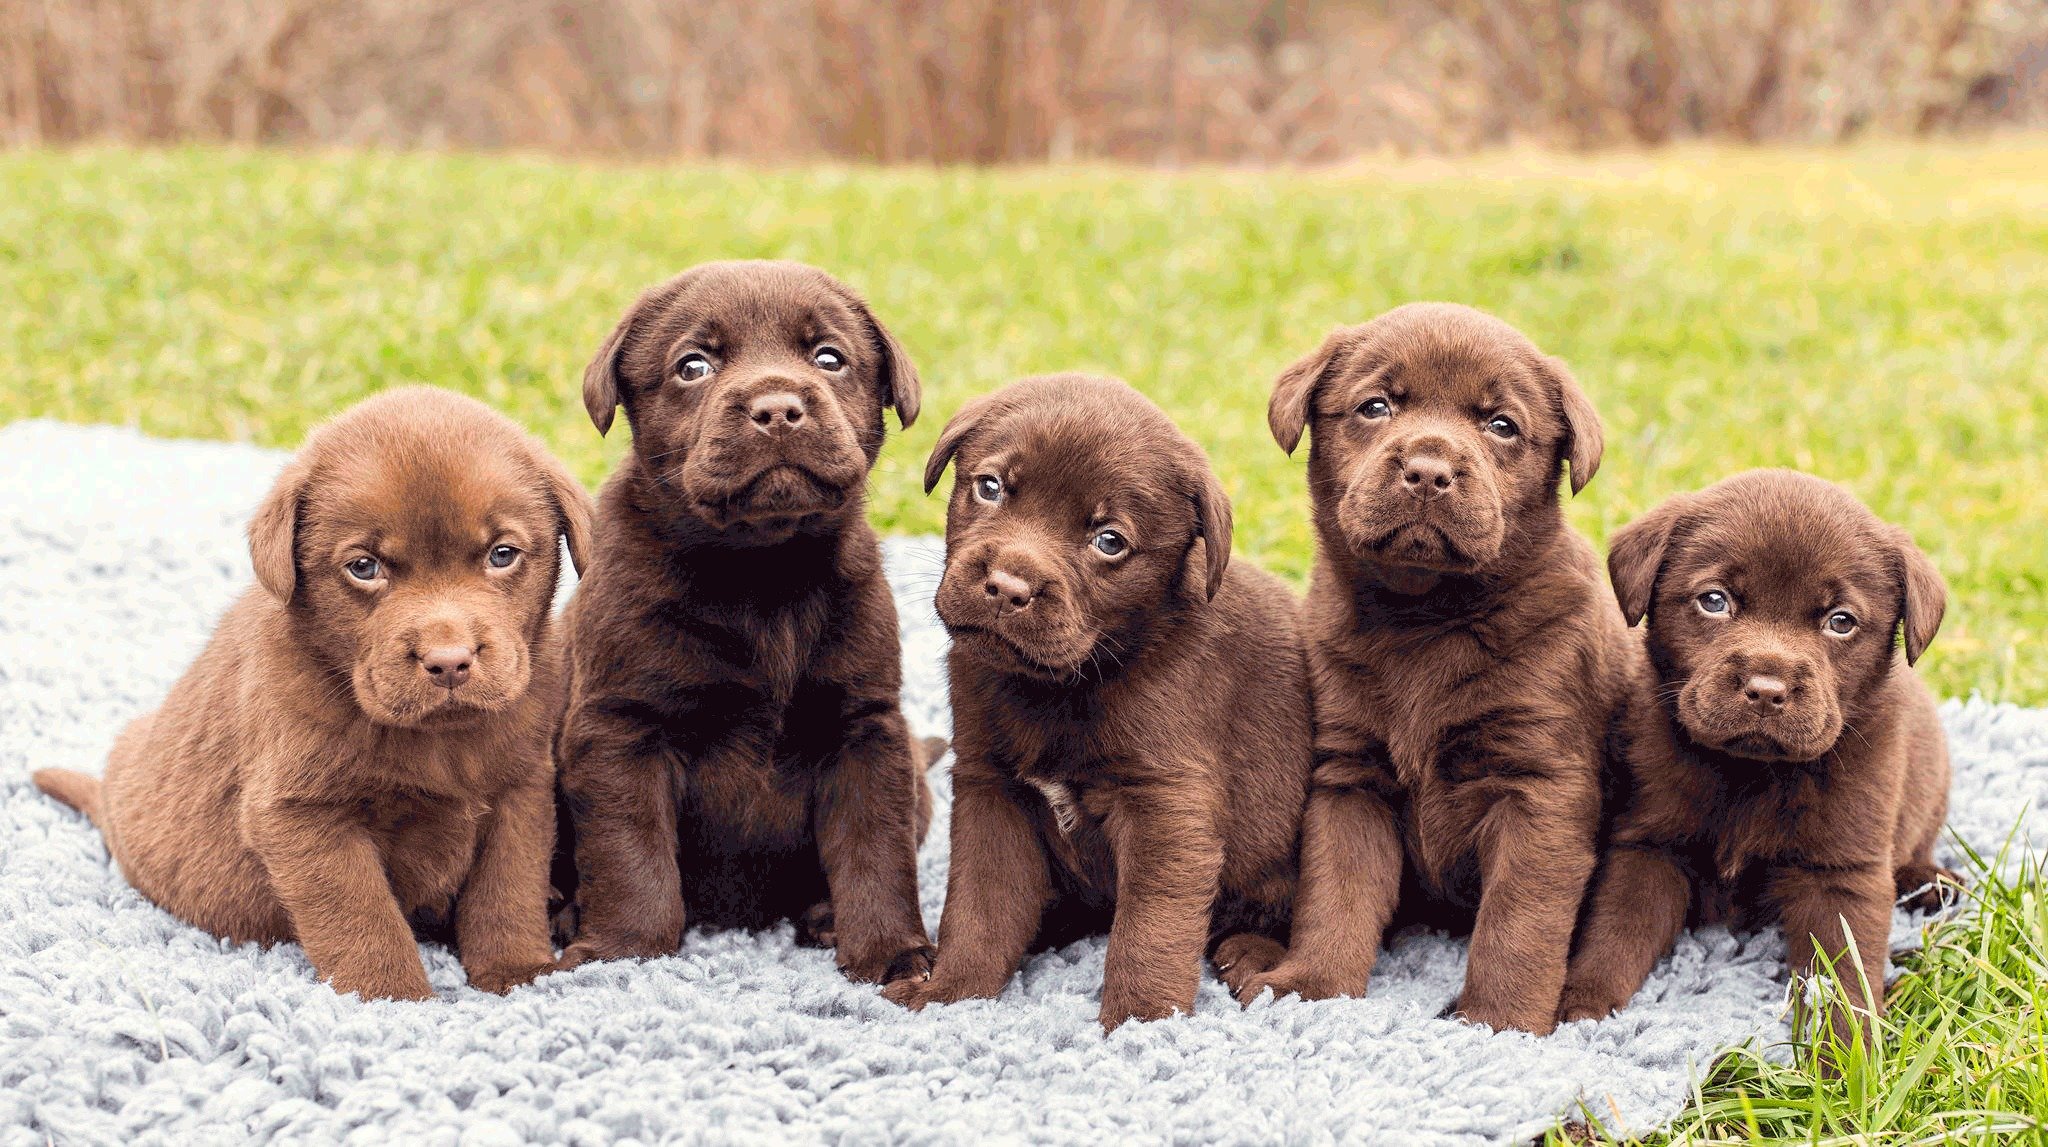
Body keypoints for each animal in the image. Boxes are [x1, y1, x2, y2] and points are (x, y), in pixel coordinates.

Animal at [32, 389, 593, 999]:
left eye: (502, 555)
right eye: (364, 567)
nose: (448, 661)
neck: (437, 742)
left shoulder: (522, 789)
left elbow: (507, 889)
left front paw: (516, 973)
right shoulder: (303, 813)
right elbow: (361, 913)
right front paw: (393, 997)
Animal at [544, 260, 929, 987]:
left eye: (829, 358)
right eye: (693, 365)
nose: (777, 408)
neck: (761, 573)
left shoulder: (864, 730)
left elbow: (876, 854)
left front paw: (893, 954)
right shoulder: (622, 727)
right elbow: (630, 855)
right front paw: (621, 951)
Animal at [884, 374, 1310, 1032]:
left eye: (1109, 542)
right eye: (990, 487)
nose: (1007, 586)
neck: (1064, 684)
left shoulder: (1167, 805)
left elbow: (1150, 931)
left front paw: (1141, 1025)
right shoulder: (991, 789)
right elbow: (978, 906)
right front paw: (951, 994)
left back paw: (1249, 953)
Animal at [1228, 301, 1630, 1036]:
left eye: (1501, 425)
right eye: (1376, 406)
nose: (1427, 469)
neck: (1425, 619)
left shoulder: (1540, 787)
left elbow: (1517, 922)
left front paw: (1497, 1023)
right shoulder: (1351, 776)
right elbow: (1337, 893)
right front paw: (1312, 986)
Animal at [1564, 469, 1949, 1040]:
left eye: (1841, 621)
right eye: (1714, 600)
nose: (1767, 690)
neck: (1753, 772)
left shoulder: (1840, 872)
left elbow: (1844, 976)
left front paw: (1845, 1053)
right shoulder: (1649, 846)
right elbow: (1614, 933)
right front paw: (1581, 1009)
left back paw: (1935, 885)